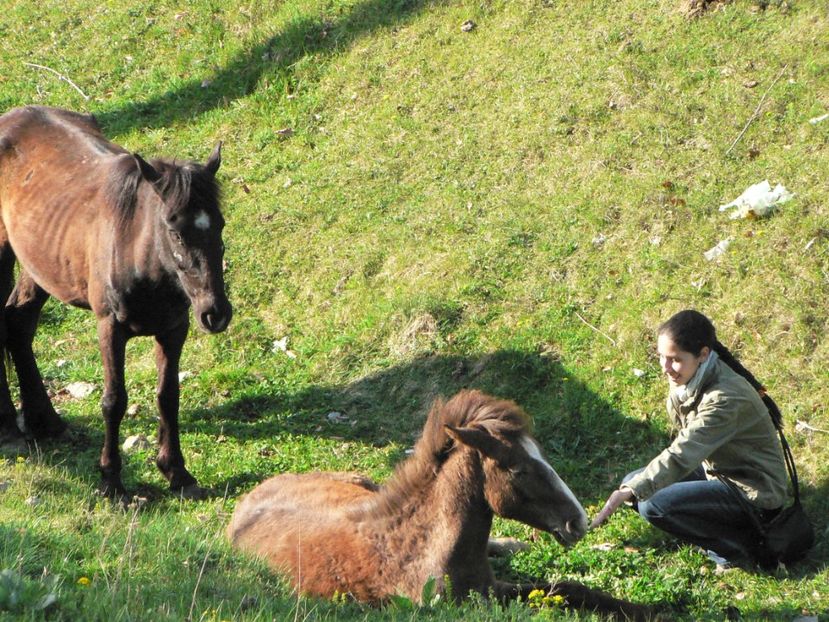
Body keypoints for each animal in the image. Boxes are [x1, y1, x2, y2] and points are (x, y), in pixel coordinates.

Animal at [0, 106, 231, 498]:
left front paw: (177, 472)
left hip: (37, 264)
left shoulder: (174, 329)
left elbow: (168, 396)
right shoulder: (110, 326)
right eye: (174, 231)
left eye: (220, 225)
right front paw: (111, 481)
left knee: (19, 322)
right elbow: (114, 401)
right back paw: (8, 429)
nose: (215, 313)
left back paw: (44, 422)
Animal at [230, 390, 656, 620]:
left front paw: (643, 610)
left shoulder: (494, 587)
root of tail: (248, 501)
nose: (577, 521)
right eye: (518, 469)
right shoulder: (474, 603)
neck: (418, 549)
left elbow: (569, 588)